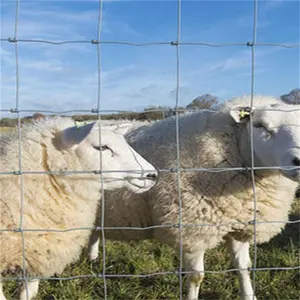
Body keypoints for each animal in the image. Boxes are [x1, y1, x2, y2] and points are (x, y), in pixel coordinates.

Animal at [88, 95, 300, 300]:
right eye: (260, 125)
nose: (298, 161)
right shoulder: (192, 230)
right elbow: (196, 276)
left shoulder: (240, 224)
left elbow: (243, 268)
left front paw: (249, 295)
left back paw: (92, 258)